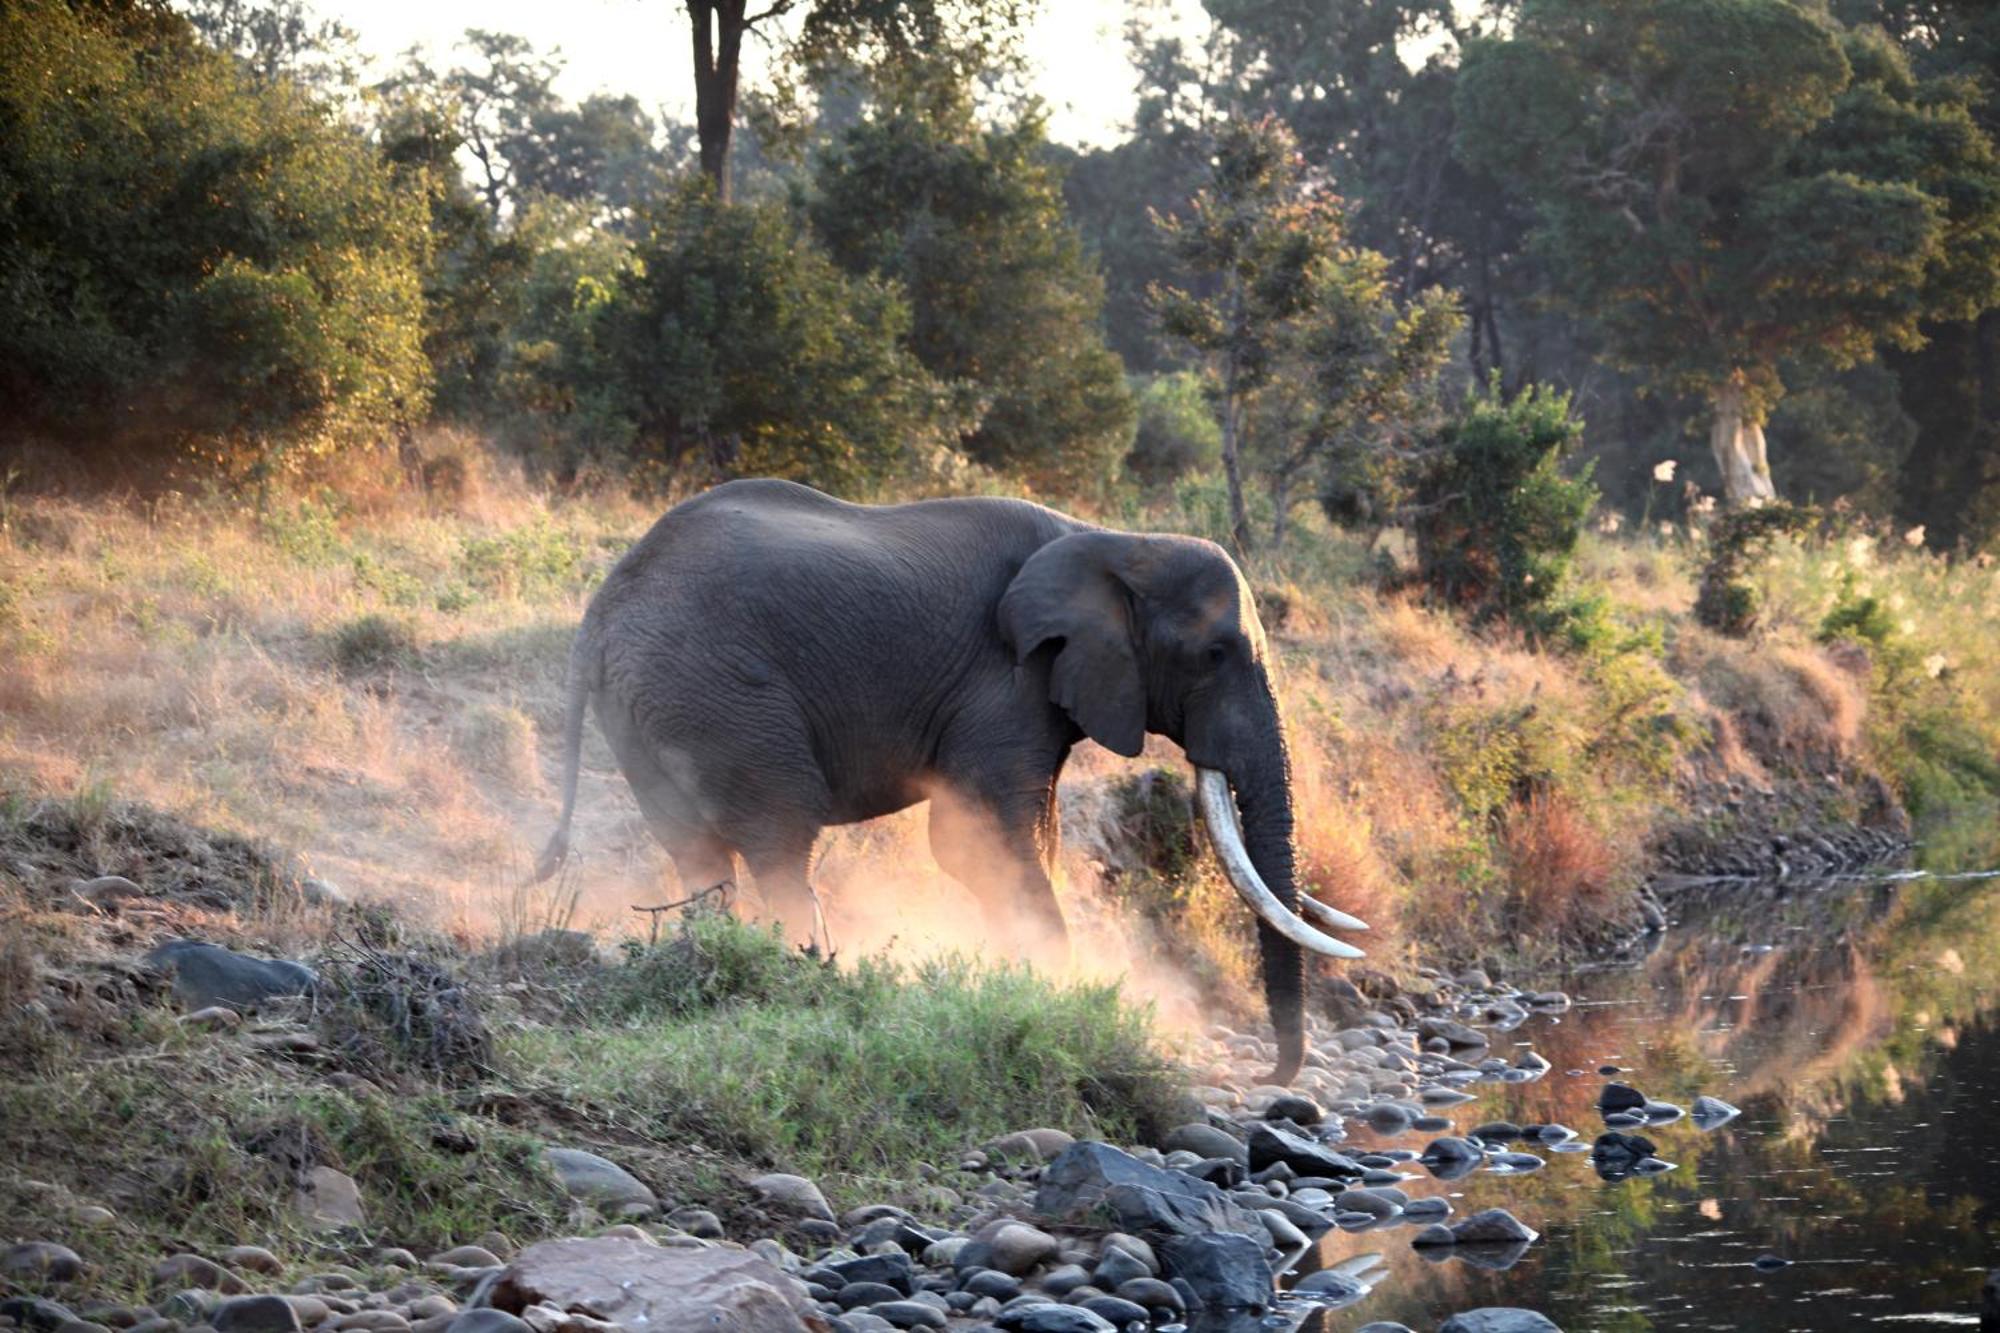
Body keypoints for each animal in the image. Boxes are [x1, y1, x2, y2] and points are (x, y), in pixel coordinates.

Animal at [540, 478, 1368, 1080]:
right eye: (1216, 654)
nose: (1266, 1078)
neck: (1112, 539)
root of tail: (597, 616)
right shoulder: (1005, 678)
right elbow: (976, 839)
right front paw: (1057, 995)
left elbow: (1034, 836)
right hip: (718, 694)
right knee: (781, 835)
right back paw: (812, 977)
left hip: (650, 709)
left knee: (700, 852)